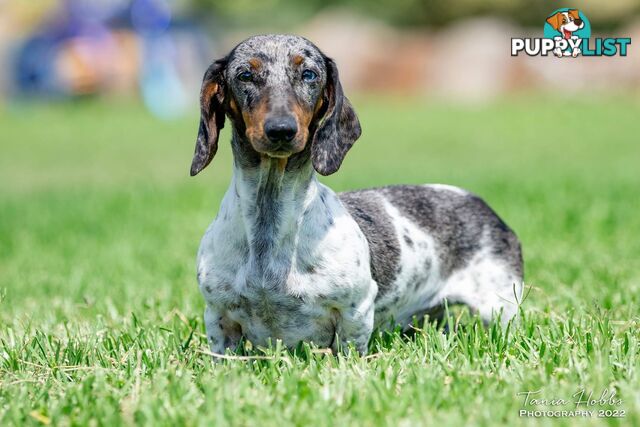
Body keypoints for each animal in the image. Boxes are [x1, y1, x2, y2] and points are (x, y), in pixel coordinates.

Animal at [192, 35, 524, 356]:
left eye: (309, 74)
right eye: (245, 75)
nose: (281, 130)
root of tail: (476, 199)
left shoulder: (356, 310)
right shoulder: (218, 316)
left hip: (500, 307)